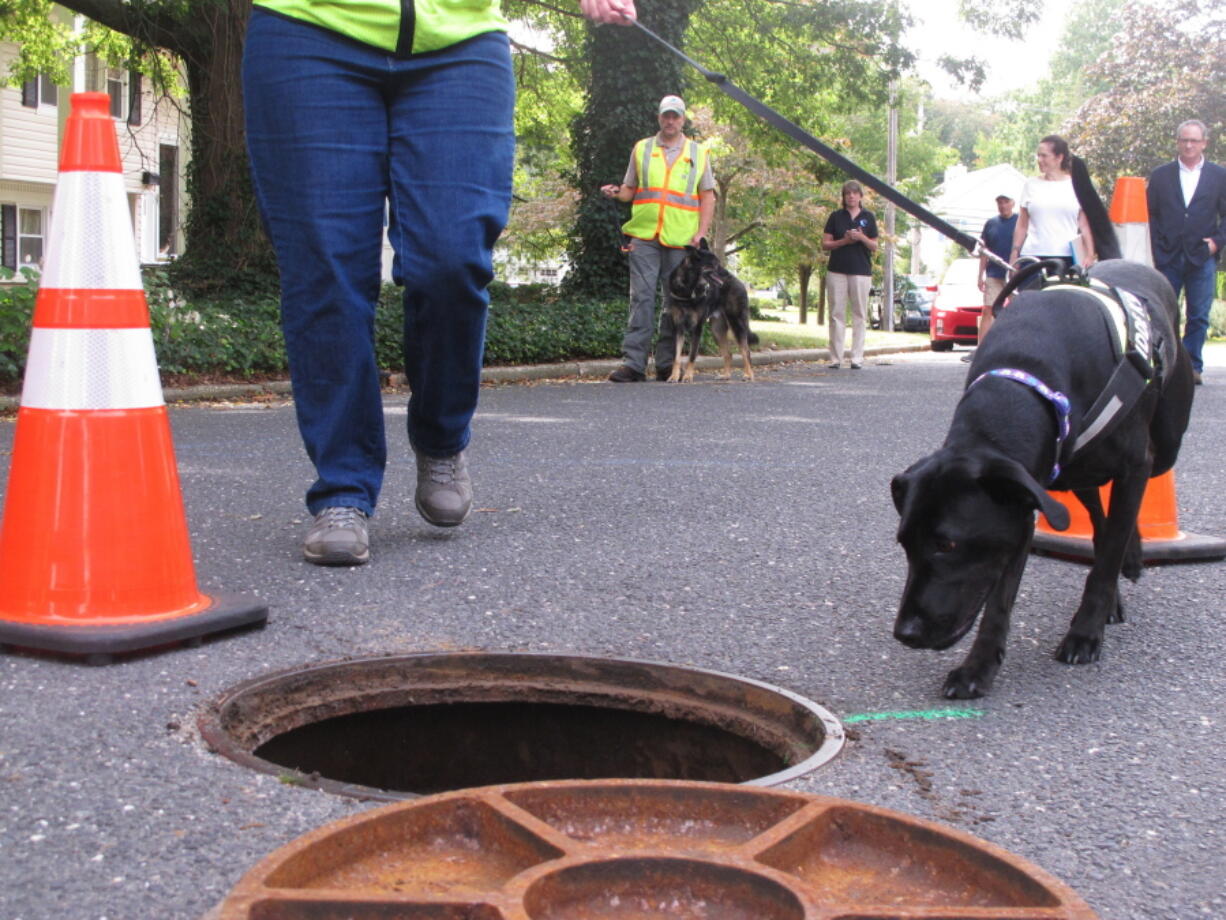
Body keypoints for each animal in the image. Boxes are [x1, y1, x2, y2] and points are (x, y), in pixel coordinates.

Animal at [666, 241, 750, 382]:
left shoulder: (697, 329)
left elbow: (692, 356)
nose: (728, 274)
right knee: (729, 354)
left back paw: (748, 375)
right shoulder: (678, 328)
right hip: (717, 330)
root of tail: (739, 282)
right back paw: (726, 375)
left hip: (737, 324)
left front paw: (688, 376)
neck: (689, 289)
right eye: (714, 264)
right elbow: (676, 357)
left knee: (746, 352)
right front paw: (674, 376)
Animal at [887, 157, 1191, 696]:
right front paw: (978, 667)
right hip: (1070, 473)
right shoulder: (1022, 500)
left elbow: (1108, 551)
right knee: (1098, 515)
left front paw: (1084, 633)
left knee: (1130, 503)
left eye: (948, 544)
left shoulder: (1118, 466)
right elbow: (1000, 599)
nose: (905, 633)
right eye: (904, 543)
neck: (1026, 375)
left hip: (1164, 442)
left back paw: (1130, 563)